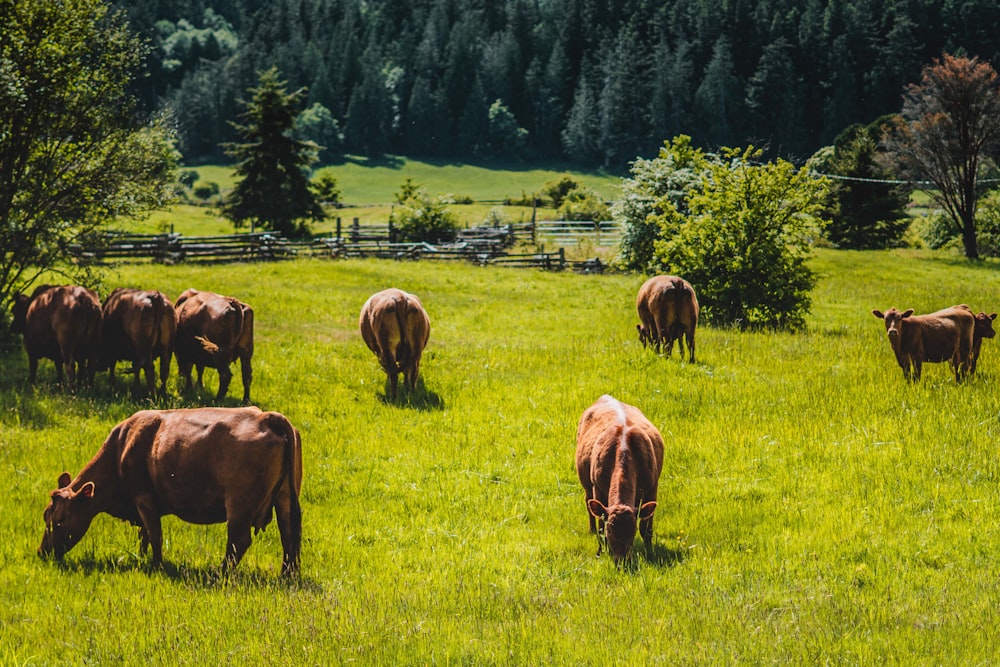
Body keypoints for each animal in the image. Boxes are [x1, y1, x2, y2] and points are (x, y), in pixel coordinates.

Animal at [39, 404, 302, 576]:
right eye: (45, 516)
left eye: (60, 520)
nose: (43, 552)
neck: (122, 447)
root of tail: (265, 417)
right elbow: (144, 535)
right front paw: (142, 558)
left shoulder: (144, 499)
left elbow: (154, 534)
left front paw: (156, 566)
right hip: (286, 497)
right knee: (289, 535)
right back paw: (287, 574)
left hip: (239, 505)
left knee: (239, 541)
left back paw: (219, 574)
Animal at [576, 394, 668, 560]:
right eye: (610, 530)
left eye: (631, 532)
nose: (621, 559)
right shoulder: (597, 488)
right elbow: (601, 525)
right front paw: (600, 551)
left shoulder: (652, 488)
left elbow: (646, 528)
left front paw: (650, 552)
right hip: (587, 485)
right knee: (588, 503)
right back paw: (591, 530)